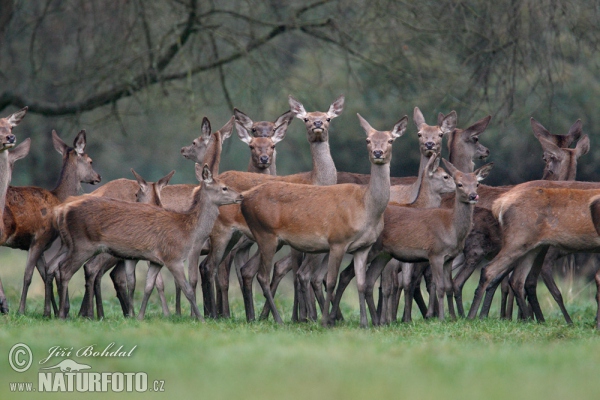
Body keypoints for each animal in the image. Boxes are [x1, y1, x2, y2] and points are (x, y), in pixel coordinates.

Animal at [48, 162, 243, 318]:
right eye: (224, 187)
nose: (241, 196)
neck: (189, 230)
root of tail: (62, 210)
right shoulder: (174, 257)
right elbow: (186, 286)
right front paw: (198, 318)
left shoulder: (156, 260)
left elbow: (149, 285)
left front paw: (140, 316)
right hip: (84, 246)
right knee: (69, 270)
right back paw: (66, 314)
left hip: (71, 245)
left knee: (55, 266)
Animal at [239, 114, 408, 326]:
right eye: (368, 140)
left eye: (391, 140)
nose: (378, 153)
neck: (366, 208)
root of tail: (244, 198)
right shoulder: (337, 241)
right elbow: (331, 281)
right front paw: (326, 321)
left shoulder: (363, 247)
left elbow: (361, 283)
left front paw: (364, 323)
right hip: (265, 234)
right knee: (262, 275)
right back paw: (278, 319)